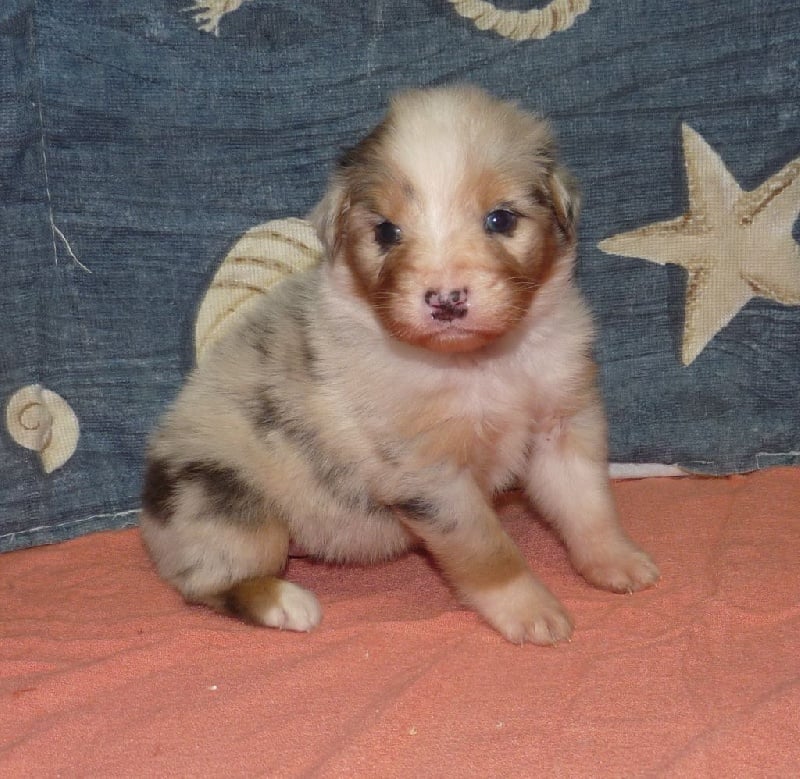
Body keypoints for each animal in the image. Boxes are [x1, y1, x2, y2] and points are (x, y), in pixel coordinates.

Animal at [140, 85, 659, 645]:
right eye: (387, 232)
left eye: (501, 219)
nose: (446, 301)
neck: (478, 362)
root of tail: (150, 517)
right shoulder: (429, 475)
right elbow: (488, 550)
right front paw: (529, 610)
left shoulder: (563, 423)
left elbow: (588, 505)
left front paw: (616, 561)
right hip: (230, 506)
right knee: (205, 583)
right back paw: (286, 602)